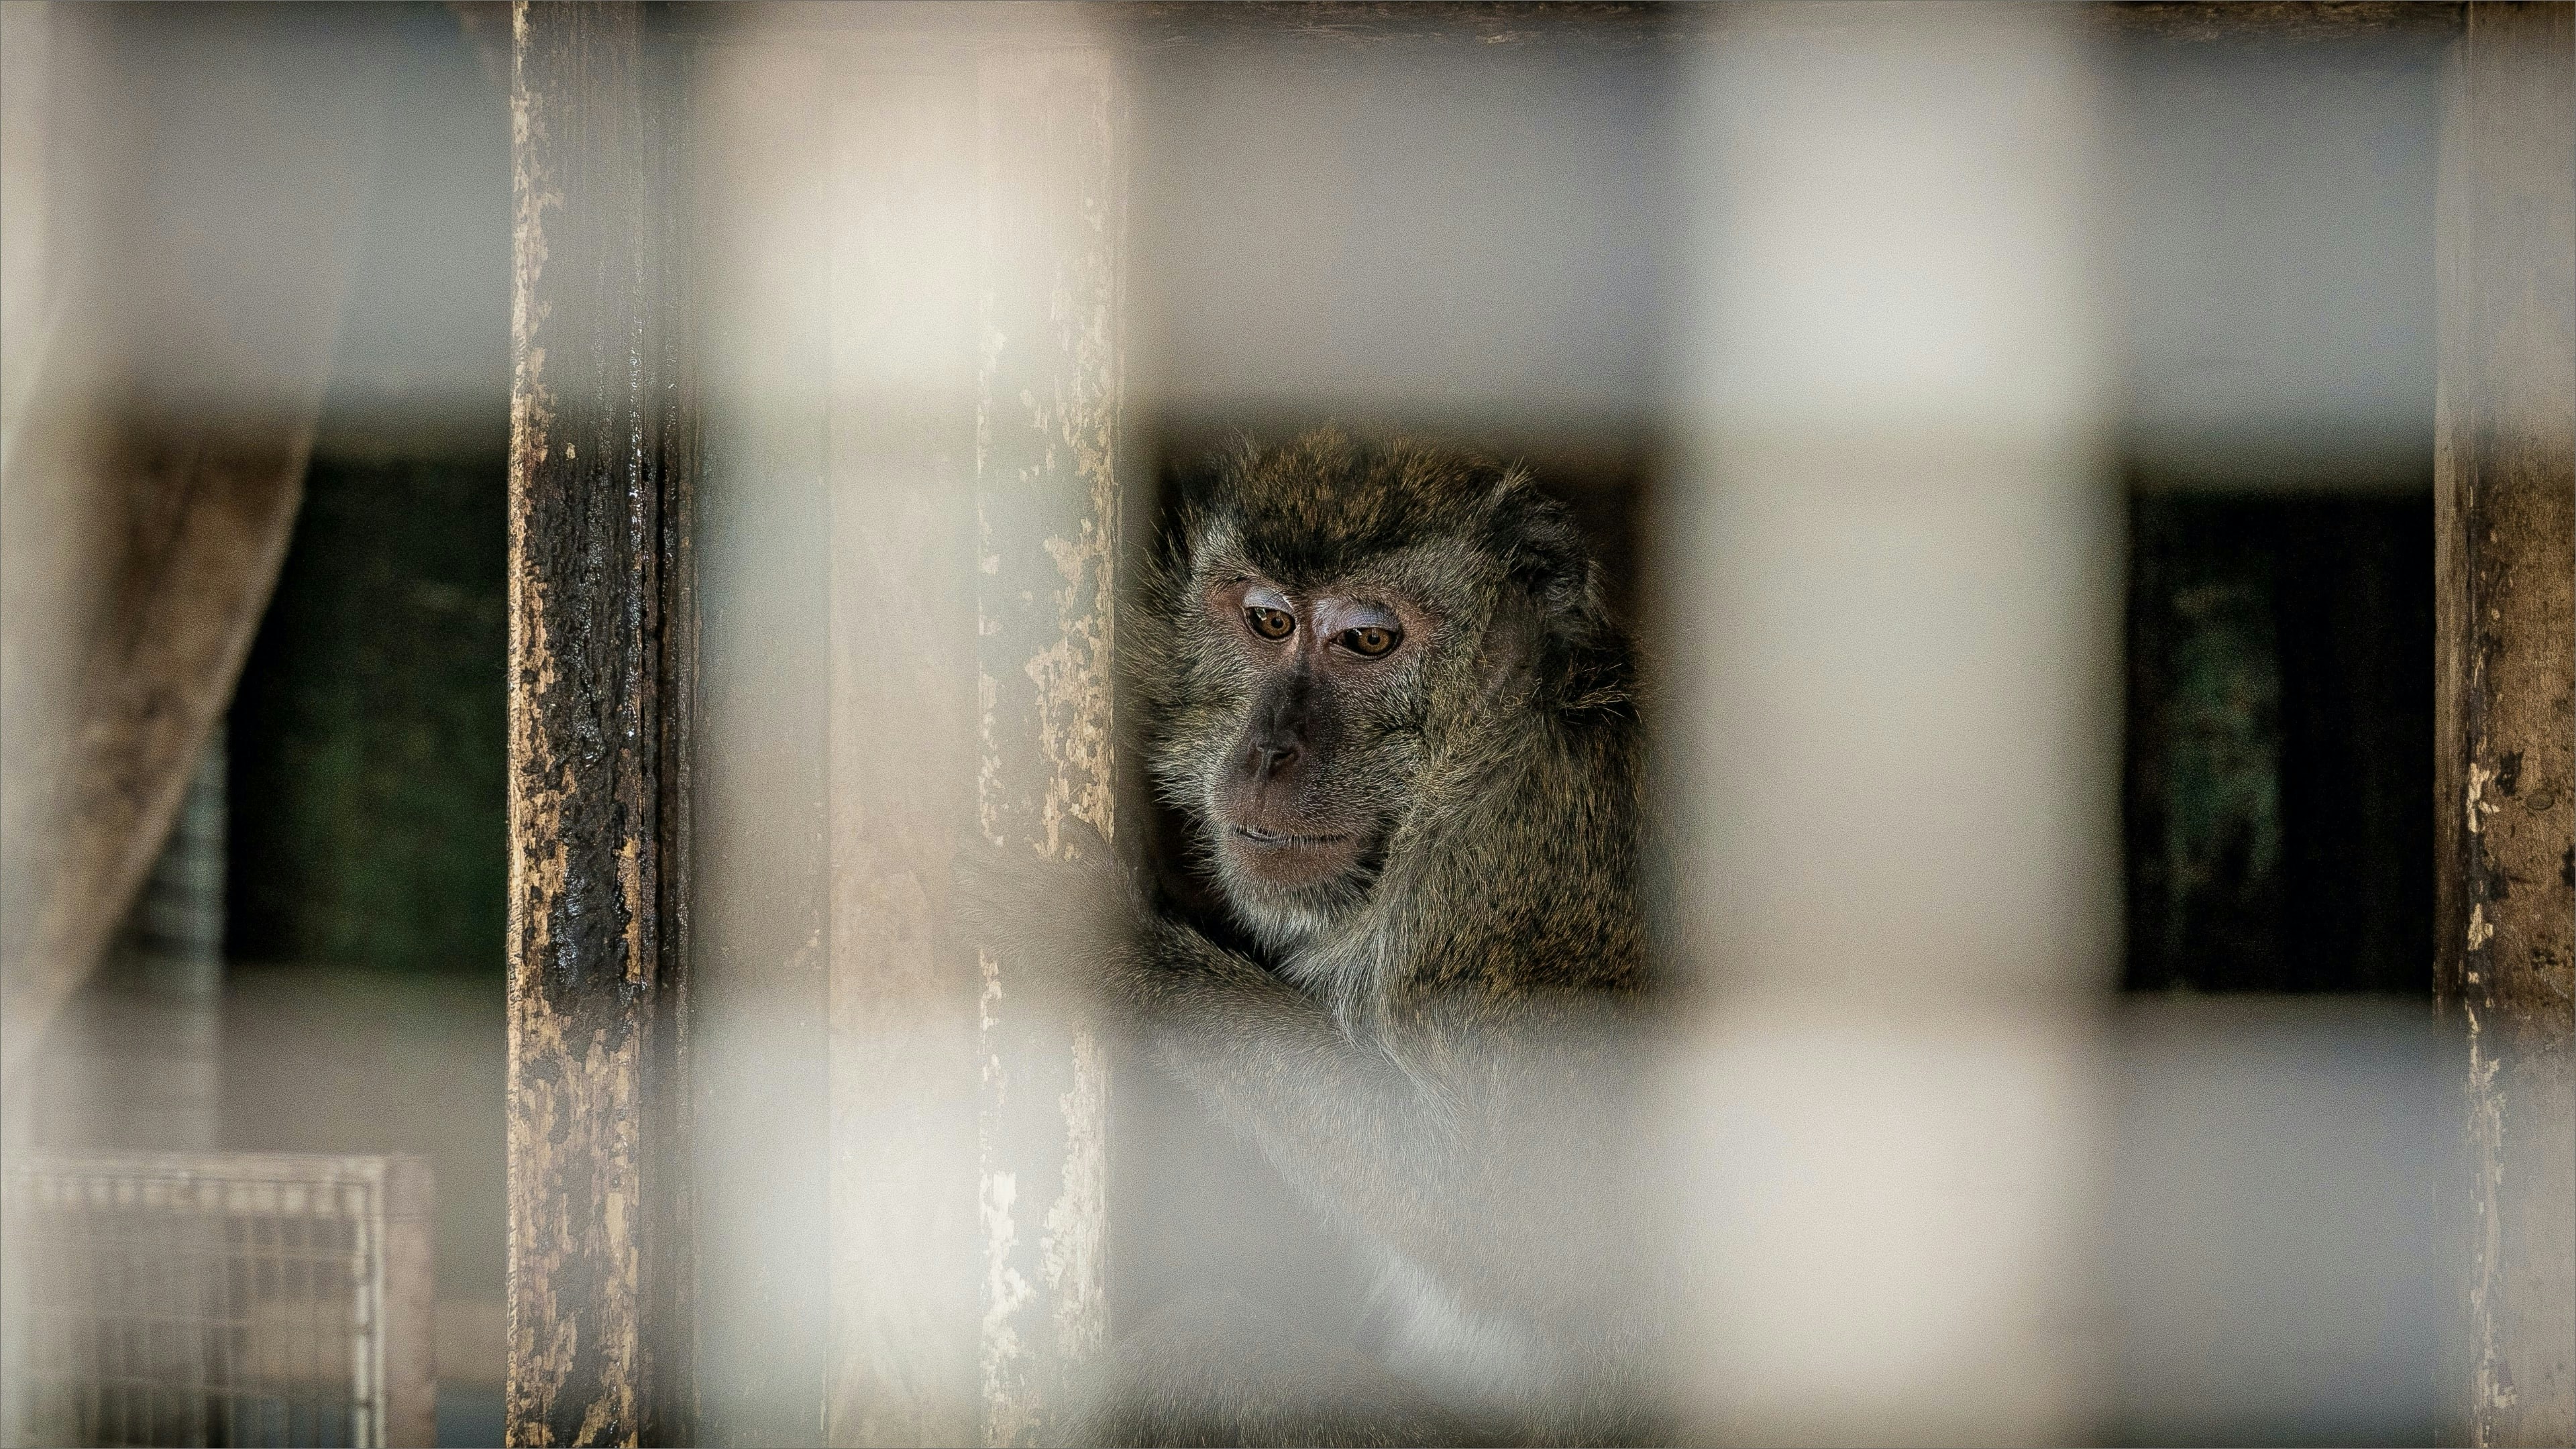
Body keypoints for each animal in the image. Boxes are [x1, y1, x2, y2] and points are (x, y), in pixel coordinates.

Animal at [965, 427, 1669, 1446]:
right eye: (1266, 622)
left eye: (1369, 639)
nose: (1267, 754)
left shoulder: (1527, 866)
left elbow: (1549, 1232)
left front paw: (1116, 953)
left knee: (1199, 1359)